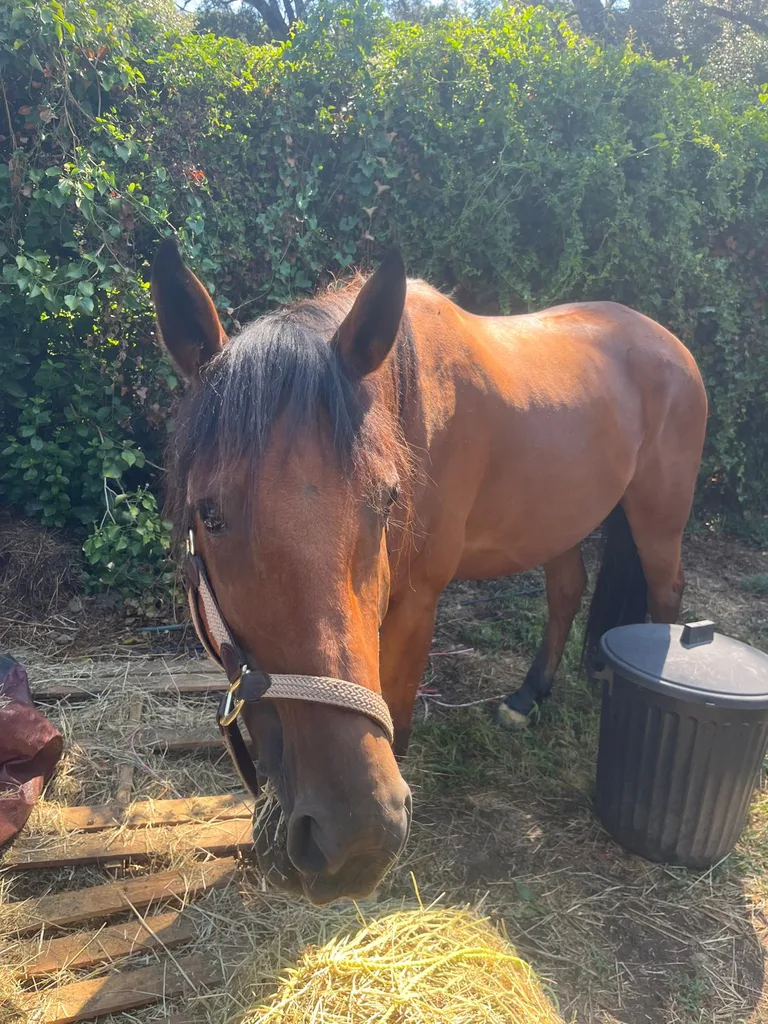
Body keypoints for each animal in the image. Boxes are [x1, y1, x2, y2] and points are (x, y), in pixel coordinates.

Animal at [151, 239, 707, 905]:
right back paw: (526, 697)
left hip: (658, 518)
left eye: (387, 501)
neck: (409, 403)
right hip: (559, 519)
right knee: (567, 592)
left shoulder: (416, 603)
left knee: (664, 594)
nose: (354, 836)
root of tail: (668, 340)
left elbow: (399, 705)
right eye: (210, 514)